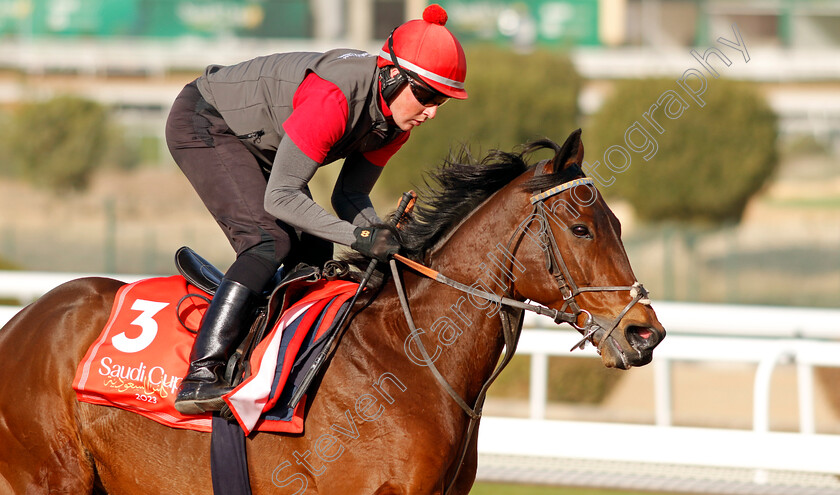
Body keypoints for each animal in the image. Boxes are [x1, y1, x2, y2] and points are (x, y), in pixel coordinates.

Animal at [0, 130, 668, 494]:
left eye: (614, 224)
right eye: (581, 228)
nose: (646, 333)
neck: (409, 361)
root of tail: (22, 322)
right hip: (50, 477)